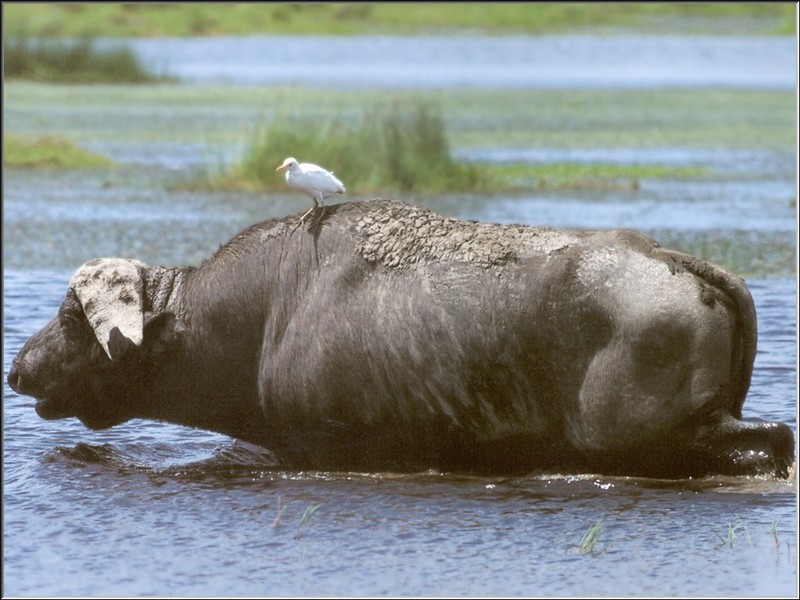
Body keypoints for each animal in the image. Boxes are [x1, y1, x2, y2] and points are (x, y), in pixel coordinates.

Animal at [6, 200, 792, 478]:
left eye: (73, 320)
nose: (17, 367)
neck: (258, 318)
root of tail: (671, 258)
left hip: (660, 432)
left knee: (772, 439)